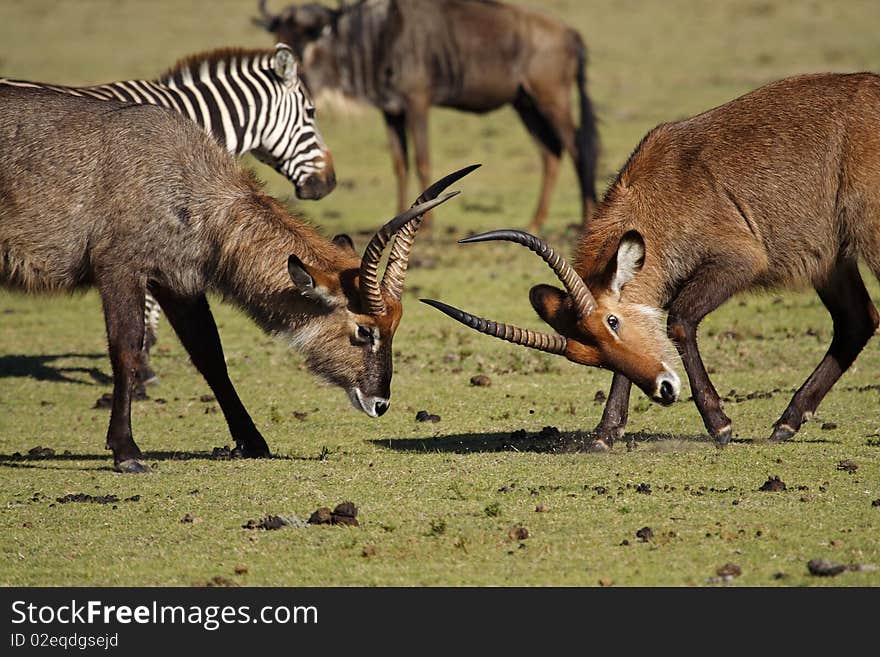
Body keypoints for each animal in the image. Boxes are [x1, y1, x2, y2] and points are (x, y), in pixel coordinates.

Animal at [1, 86, 482, 472]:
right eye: (365, 331)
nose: (380, 403)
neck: (185, 180)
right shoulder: (121, 269)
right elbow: (126, 351)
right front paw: (127, 452)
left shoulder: (178, 282)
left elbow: (210, 355)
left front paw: (253, 442)